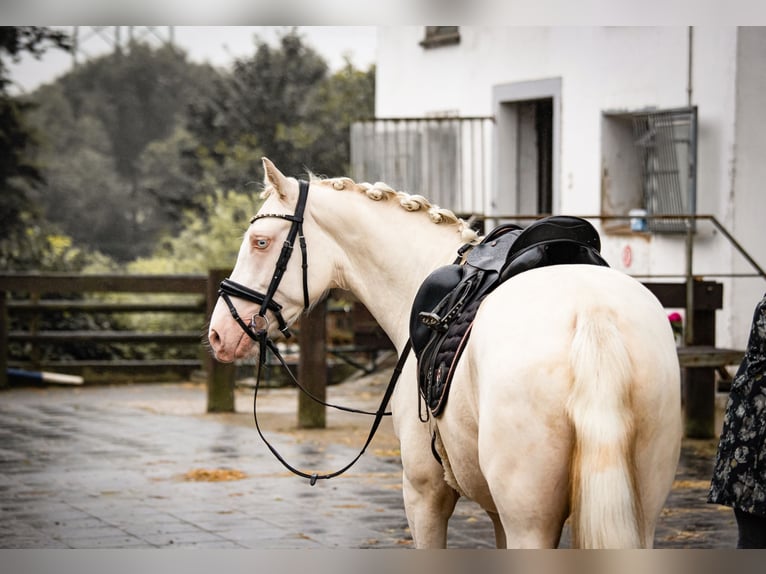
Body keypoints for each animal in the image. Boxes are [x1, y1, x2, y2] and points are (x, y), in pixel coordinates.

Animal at [208, 159, 684, 552]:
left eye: (260, 242)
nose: (218, 333)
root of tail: (592, 314)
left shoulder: (424, 493)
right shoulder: (494, 511)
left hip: (529, 519)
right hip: (641, 511)